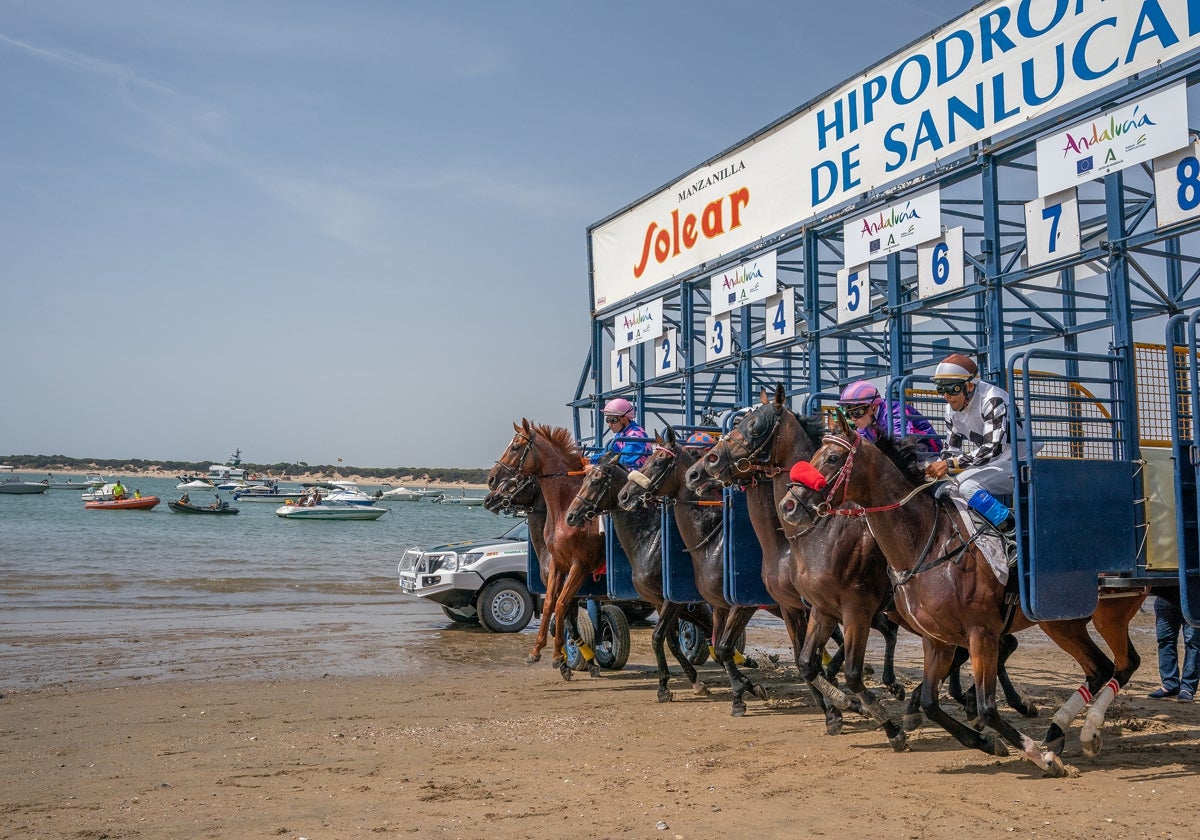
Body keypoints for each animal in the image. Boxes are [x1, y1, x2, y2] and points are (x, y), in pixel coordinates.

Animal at [482, 417, 604, 681]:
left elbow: (561, 609)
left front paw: (567, 659)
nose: (491, 482)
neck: (566, 508)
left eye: (516, 447)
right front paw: (540, 652)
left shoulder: (580, 566)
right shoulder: (558, 567)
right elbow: (550, 606)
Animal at [564, 453, 710, 700]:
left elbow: (662, 637)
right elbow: (671, 640)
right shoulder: (661, 601)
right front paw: (693, 681)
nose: (571, 516)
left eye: (595, 482)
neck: (650, 540)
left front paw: (665, 687)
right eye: (584, 480)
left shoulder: (675, 600)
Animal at [619, 427, 777, 715]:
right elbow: (704, 644)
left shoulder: (736, 603)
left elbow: (717, 645)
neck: (712, 540)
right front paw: (744, 687)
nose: (624, 496)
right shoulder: (700, 603)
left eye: (658, 461)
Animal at [686, 388, 907, 748]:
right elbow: (803, 661)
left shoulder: (833, 606)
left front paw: (842, 708)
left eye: (754, 424)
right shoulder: (797, 607)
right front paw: (838, 708)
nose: (703, 467)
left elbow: (814, 660)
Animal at [777, 412, 1142, 772]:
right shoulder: (931, 636)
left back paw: (1075, 733)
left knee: (1117, 664)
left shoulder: (970, 630)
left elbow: (986, 707)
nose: (789, 505)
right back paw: (1060, 732)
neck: (928, 543)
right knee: (1103, 668)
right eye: (813, 455)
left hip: (1092, 614)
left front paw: (1040, 757)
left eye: (833, 458)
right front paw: (986, 742)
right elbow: (928, 701)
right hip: (1065, 621)